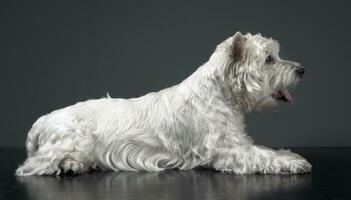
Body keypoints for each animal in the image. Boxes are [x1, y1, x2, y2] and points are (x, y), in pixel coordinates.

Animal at [17, 32, 314, 176]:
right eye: (269, 59)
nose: (301, 70)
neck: (219, 93)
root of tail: (41, 122)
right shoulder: (229, 150)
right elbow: (261, 156)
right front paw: (293, 163)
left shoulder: (238, 142)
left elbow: (266, 149)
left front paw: (290, 155)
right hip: (73, 141)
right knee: (33, 165)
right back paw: (65, 166)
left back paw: (74, 166)